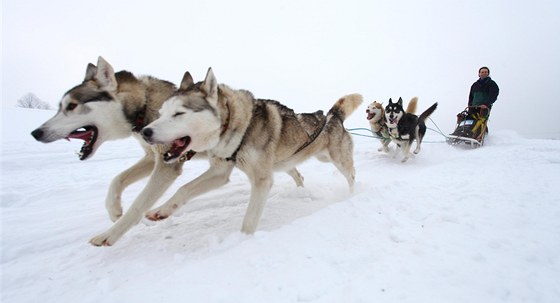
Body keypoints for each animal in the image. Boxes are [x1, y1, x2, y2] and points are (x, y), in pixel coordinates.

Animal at [30, 56, 304, 247]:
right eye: (60, 106)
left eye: (72, 106)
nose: (37, 133)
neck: (144, 107)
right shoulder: (155, 157)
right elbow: (118, 180)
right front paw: (114, 209)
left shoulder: (167, 166)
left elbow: (139, 204)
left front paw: (111, 234)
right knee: (294, 171)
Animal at [140, 68, 364, 235]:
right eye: (161, 113)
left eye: (179, 113)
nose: (145, 132)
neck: (238, 126)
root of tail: (332, 115)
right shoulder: (220, 172)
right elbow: (184, 189)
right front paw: (160, 210)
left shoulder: (261, 181)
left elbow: (248, 222)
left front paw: (242, 241)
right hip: (286, 163)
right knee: (299, 175)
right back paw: (301, 192)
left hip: (336, 161)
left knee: (352, 175)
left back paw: (352, 195)